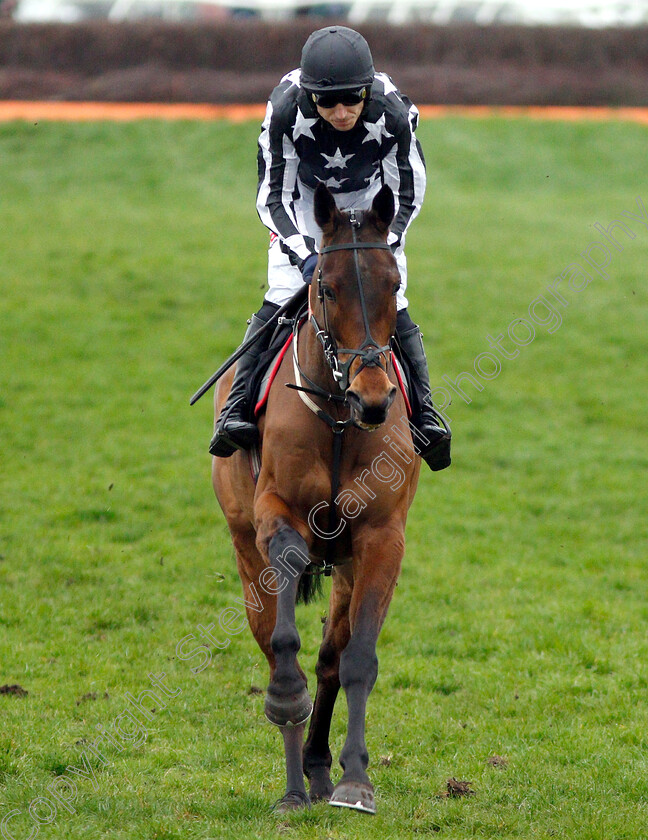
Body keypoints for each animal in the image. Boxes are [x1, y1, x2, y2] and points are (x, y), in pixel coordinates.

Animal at [213, 182, 422, 812]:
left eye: (393, 285)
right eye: (325, 286)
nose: (373, 397)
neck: (336, 420)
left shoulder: (381, 538)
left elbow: (357, 661)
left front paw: (356, 779)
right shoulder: (274, 515)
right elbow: (284, 636)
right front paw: (286, 696)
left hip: (347, 566)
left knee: (330, 659)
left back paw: (318, 770)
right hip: (243, 546)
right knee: (269, 639)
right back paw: (290, 786)